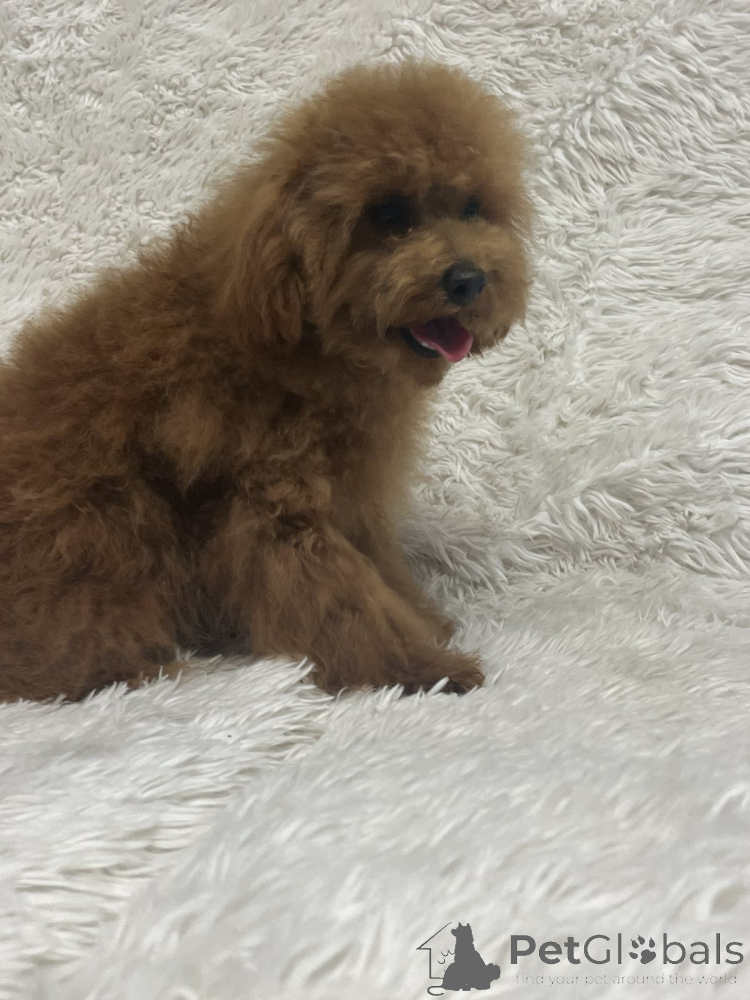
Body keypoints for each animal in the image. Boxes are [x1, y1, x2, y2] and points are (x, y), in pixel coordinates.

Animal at [0, 61, 530, 702]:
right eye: (389, 216)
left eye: (473, 208)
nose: (467, 278)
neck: (304, 343)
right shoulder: (274, 504)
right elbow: (340, 602)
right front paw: (422, 670)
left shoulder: (352, 494)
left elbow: (377, 571)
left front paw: (426, 622)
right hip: (99, 520)